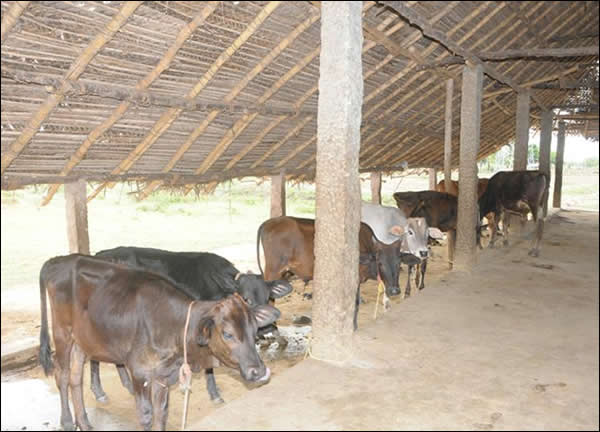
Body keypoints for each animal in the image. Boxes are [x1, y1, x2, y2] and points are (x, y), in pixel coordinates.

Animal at [39, 255, 279, 431]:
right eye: (227, 334)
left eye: (254, 329)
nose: (259, 371)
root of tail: (60, 260)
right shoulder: (139, 373)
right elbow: (146, 416)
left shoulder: (162, 377)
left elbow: (161, 414)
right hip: (62, 333)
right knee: (62, 375)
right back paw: (68, 422)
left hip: (82, 341)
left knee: (76, 378)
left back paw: (85, 422)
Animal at [91, 246, 292, 404]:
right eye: (246, 298)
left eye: (268, 297)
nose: (267, 327)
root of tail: (101, 254)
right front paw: (214, 394)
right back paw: (99, 392)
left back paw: (127, 385)